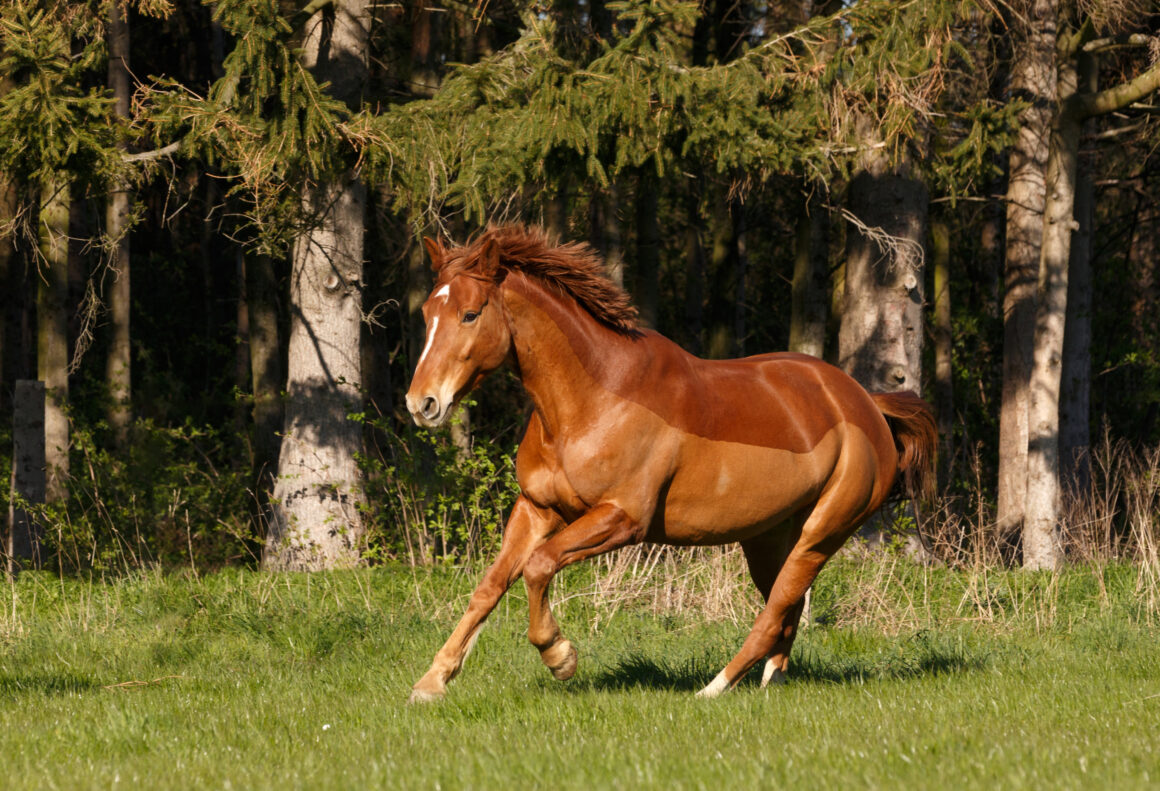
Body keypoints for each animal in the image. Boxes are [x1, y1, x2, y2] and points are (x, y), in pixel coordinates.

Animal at [403, 220, 937, 695]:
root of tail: (867, 404)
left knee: (775, 610)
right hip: (768, 538)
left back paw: (715, 687)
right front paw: (431, 682)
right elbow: (490, 585)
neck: (593, 399)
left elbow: (538, 566)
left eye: (471, 314)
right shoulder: (537, 508)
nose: (421, 403)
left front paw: (560, 656)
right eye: (427, 313)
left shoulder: (622, 520)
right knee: (787, 609)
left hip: (822, 533)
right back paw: (771, 681)